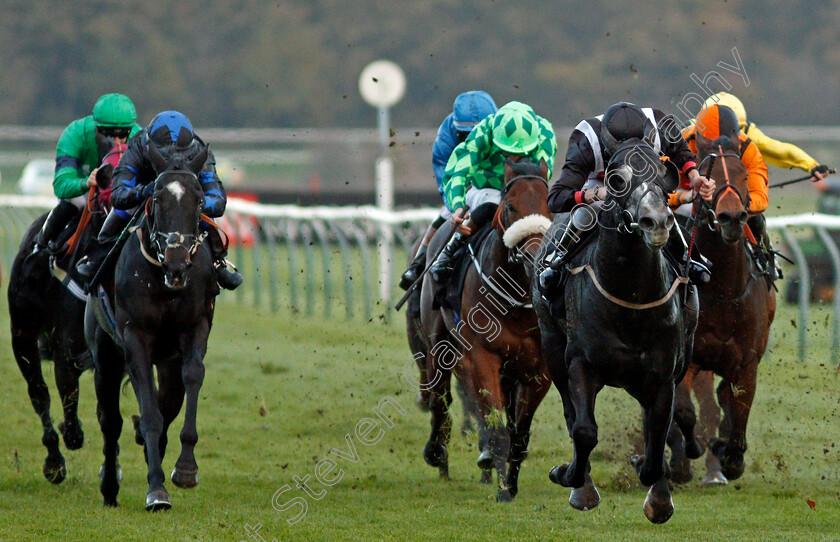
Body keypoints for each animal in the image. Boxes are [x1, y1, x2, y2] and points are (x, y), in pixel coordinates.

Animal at [7, 143, 122, 484]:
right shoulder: (66, 348)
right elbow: (67, 396)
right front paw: (71, 436)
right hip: (22, 334)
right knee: (39, 393)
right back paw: (54, 461)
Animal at [86, 142, 220, 512]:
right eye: (158, 198)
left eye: (199, 200)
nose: (177, 264)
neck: (164, 281)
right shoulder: (135, 336)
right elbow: (148, 413)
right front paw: (156, 489)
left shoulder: (195, 327)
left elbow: (191, 379)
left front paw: (185, 469)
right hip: (105, 353)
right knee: (110, 420)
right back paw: (108, 486)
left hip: (168, 360)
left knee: (169, 400)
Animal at [418, 157, 552, 502]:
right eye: (511, 207)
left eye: (549, 206)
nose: (535, 258)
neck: (515, 297)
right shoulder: (483, 356)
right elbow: (496, 424)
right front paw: (503, 488)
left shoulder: (540, 368)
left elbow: (519, 432)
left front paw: (510, 483)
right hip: (438, 340)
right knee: (440, 397)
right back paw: (437, 454)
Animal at [540, 140, 704, 528]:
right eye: (616, 179)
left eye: (665, 175)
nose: (656, 221)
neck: (630, 300)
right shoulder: (580, 364)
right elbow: (583, 430)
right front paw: (573, 480)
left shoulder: (662, 376)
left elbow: (657, 439)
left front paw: (656, 491)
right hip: (551, 349)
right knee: (571, 414)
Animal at [668, 138, 776, 486]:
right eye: (708, 176)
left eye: (745, 177)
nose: (731, 218)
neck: (723, 291)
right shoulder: (688, 359)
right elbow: (683, 411)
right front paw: (685, 456)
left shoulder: (746, 363)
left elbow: (739, 412)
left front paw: (731, 459)